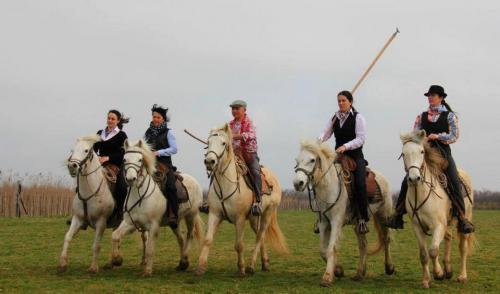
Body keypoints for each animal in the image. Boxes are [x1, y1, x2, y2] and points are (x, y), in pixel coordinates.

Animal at [58, 136, 114, 274]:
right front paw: (62, 264)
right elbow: (67, 237)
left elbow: (96, 245)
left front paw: (93, 268)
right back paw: (113, 262)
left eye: (86, 150)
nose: (72, 166)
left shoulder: (101, 222)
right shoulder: (77, 219)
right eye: (72, 150)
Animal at [107, 139, 203, 276]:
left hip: (191, 215)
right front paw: (117, 260)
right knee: (180, 238)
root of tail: (194, 180)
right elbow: (115, 235)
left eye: (140, 160)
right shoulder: (130, 222)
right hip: (174, 222)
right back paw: (181, 264)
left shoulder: (153, 226)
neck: (140, 195)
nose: (131, 179)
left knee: (189, 236)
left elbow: (150, 249)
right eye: (124, 159)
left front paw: (147, 270)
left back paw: (184, 260)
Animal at [195, 124, 290, 278]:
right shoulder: (214, 214)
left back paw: (251, 266)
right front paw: (200, 267)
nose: (209, 162)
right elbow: (208, 240)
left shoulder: (239, 219)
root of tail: (274, 178)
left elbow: (239, 245)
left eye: (223, 143)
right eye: (208, 143)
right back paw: (265, 263)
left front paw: (241, 269)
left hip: (268, 213)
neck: (226, 184)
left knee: (260, 236)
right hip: (253, 218)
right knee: (260, 236)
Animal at [292, 140, 394, 288]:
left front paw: (327, 277)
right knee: (363, 244)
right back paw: (359, 273)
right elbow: (323, 250)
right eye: (297, 160)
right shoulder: (324, 223)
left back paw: (389, 267)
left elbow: (331, 248)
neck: (328, 187)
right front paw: (338, 270)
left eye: (312, 160)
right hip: (359, 223)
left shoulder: (336, 222)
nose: (297, 183)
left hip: (383, 215)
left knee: (386, 239)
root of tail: (382, 178)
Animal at [400, 130, 474, 288]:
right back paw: (448, 270)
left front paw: (438, 274)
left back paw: (462, 276)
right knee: (448, 238)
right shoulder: (417, 227)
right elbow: (423, 254)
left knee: (463, 248)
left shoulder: (438, 225)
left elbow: (433, 251)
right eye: (403, 154)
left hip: (465, 219)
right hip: (448, 222)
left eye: (422, 151)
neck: (421, 194)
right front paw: (426, 280)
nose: (414, 178)